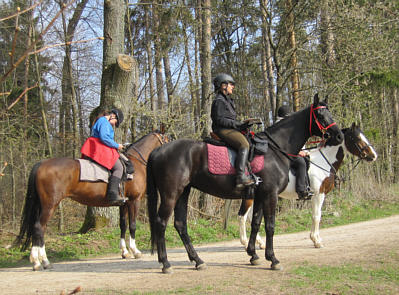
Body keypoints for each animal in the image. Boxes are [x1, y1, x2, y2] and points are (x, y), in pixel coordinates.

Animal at [14, 131, 168, 270]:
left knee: (39, 229)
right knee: (39, 227)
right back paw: (40, 261)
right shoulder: (134, 201)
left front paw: (124, 252)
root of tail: (42, 163)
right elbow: (133, 226)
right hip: (50, 205)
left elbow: (123, 225)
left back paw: (39, 260)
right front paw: (135, 251)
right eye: (166, 140)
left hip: (43, 205)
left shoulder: (123, 203)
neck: (136, 164)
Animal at [148, 94, 346, 272]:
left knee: (180, 224)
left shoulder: (259, 195)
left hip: (184, 192)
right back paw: (165, 263)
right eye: (320, 114)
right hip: (171, 194)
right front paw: (273, 259)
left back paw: (197, 260)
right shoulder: (270, 195)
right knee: (161, 223)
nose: (339, 136)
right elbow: (270, 225)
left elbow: (256, 223)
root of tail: (158, 150)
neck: (275, 149)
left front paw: (253, 255)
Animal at [239, 122, 380, 250]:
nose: (373, 156)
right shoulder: (319, 194)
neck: (323, 162)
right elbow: (317, 216)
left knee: (249, 217)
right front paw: (316, 241)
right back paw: (246, 243)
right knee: (243, 216)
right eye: (357, 138)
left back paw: (260, 243)